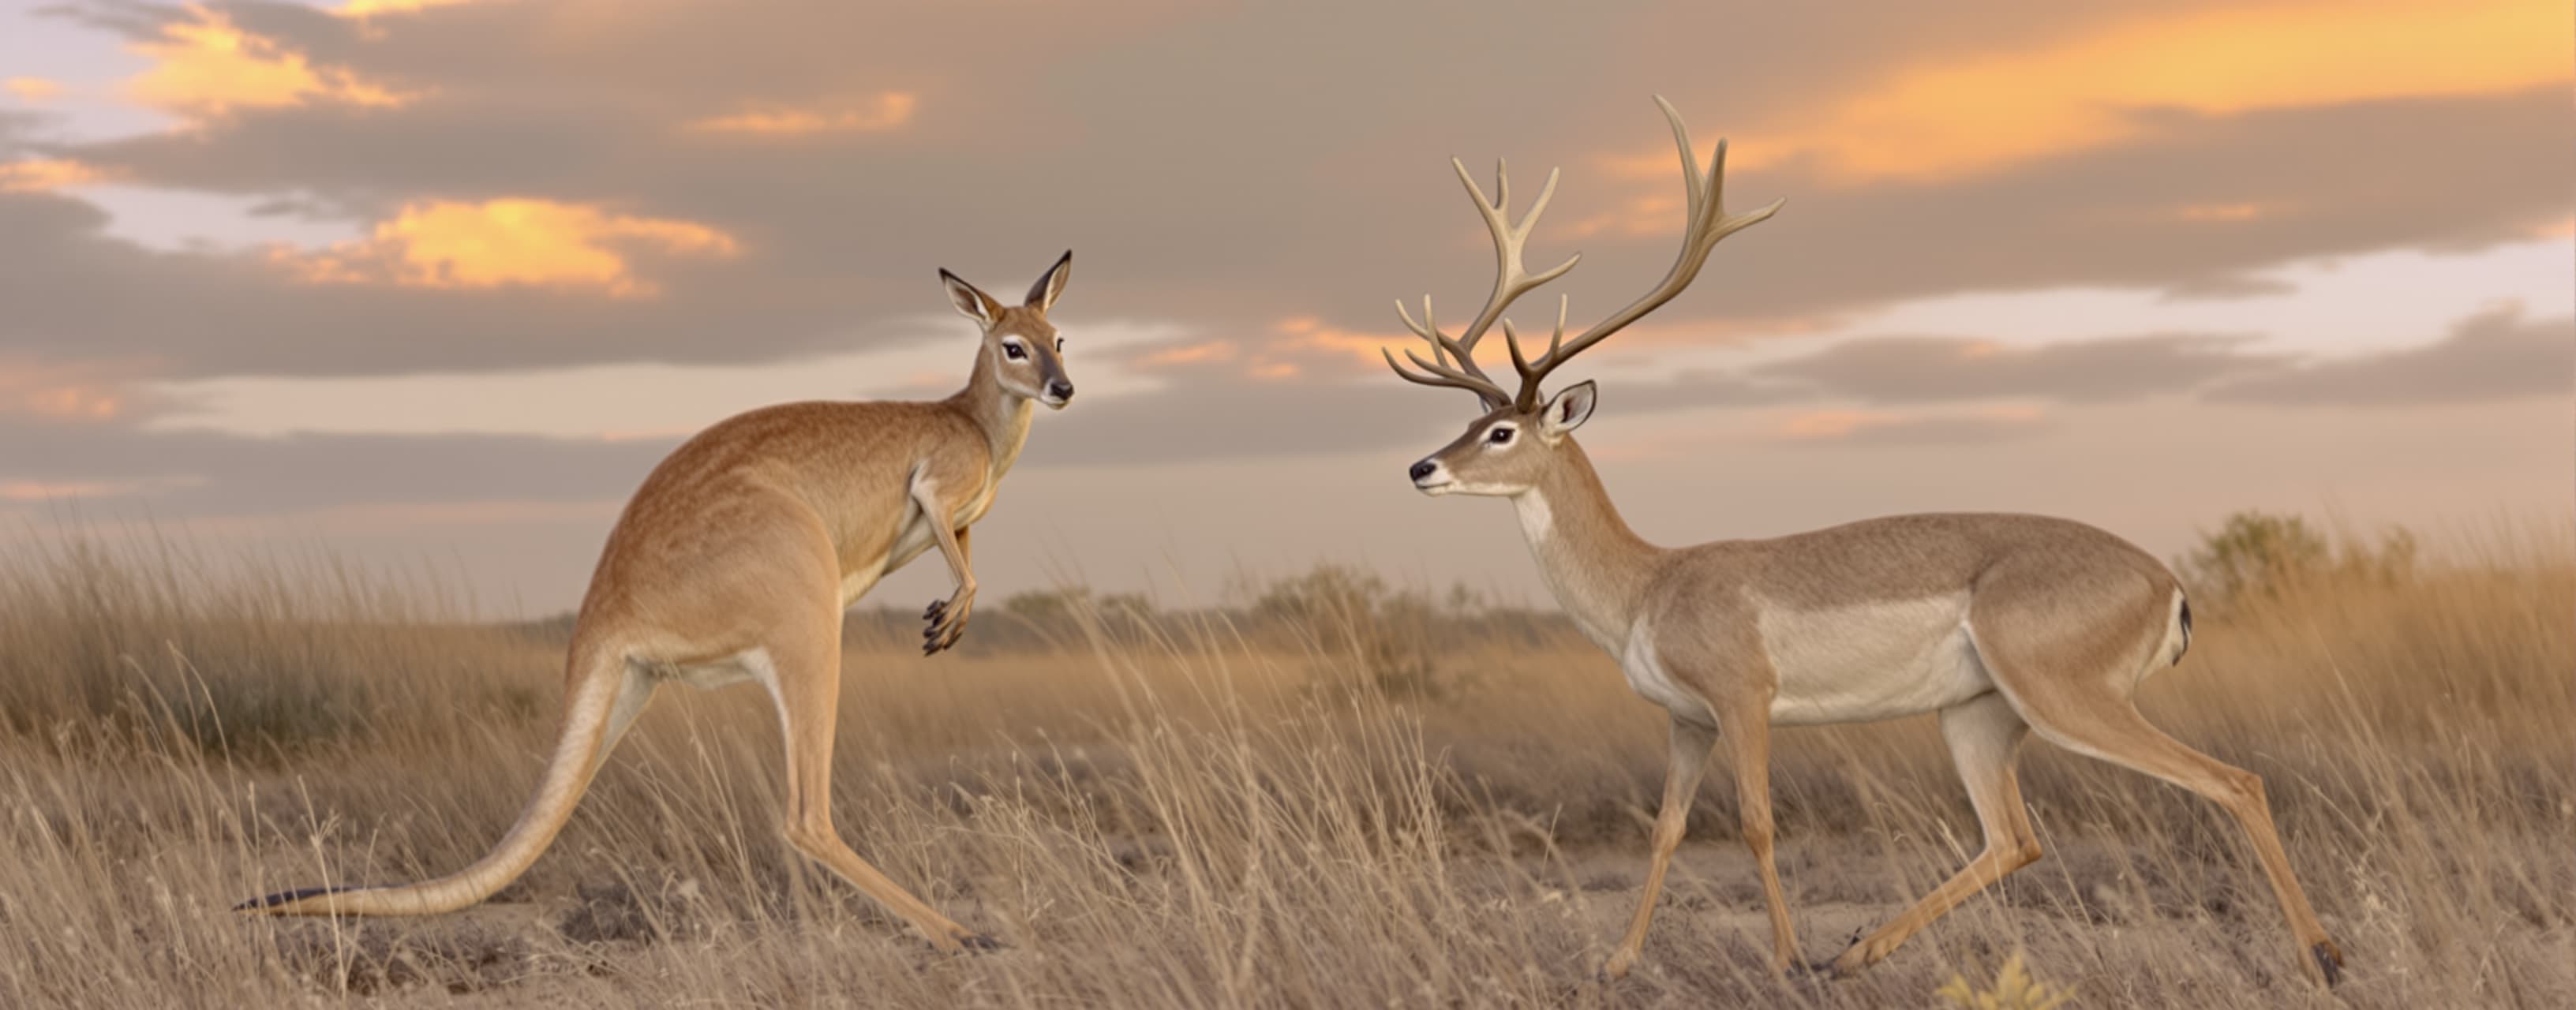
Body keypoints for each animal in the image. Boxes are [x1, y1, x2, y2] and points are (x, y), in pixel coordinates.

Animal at [238, 252, 1082, 954]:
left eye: (1060, 338)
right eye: (1013, 347)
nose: (1064, 389)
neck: (975, 418)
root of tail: (606, 610)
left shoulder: (960, 516)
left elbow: (962, 551)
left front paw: (951, 613)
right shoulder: (937, 486)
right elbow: (951, 539)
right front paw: (950, 615)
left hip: (641, 683)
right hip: (802, 599)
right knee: (804, 817)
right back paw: (962, 936)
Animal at [1384, 99, 2345, 987]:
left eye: (1502, 431)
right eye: (1470, 421)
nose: (1421, 467)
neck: (1650, 582)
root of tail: (2167, 582)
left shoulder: (1745, 702)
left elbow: (1757, 823)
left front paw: (1781, 957)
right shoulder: (1686, 720)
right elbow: (1666, 828)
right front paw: (1619, 963)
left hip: (2063, 698)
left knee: (2232, 780)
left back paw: (2323, 957)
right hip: (1979, 714)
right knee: (2015, 836)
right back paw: (1856, 952)